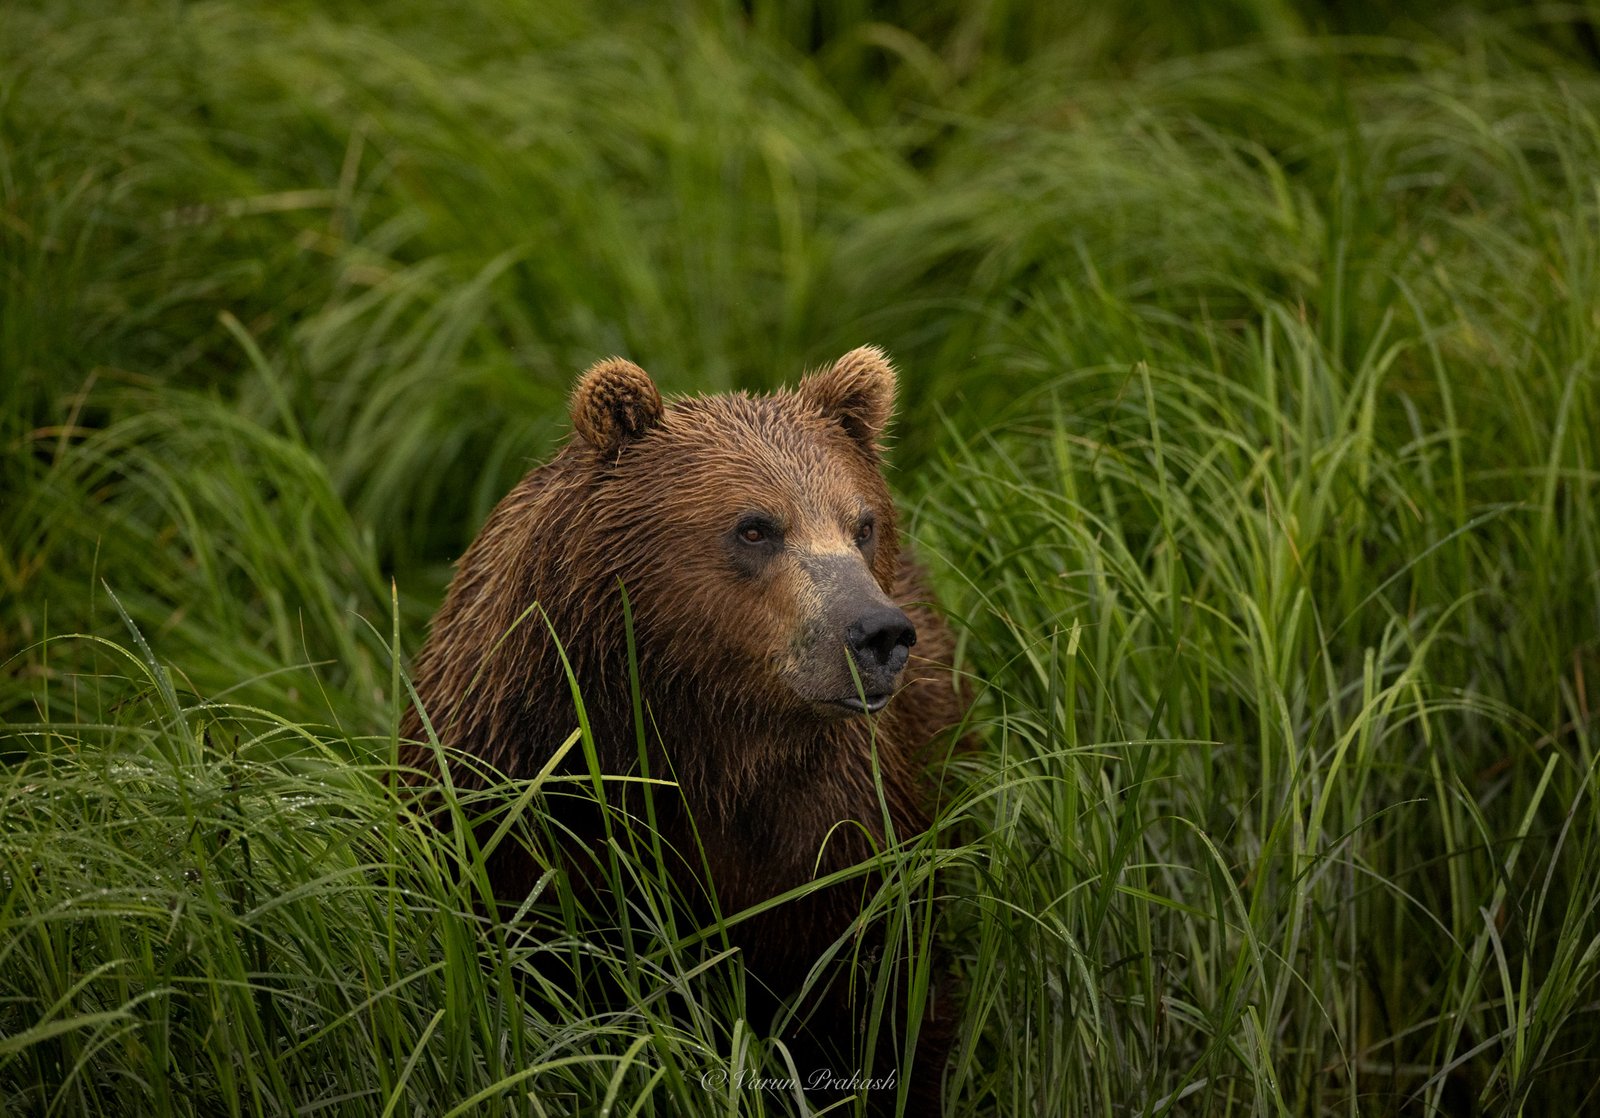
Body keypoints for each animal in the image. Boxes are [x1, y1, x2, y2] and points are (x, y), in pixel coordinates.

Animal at [400, 346, 969, 1114]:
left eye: (862, 523)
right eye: (756, 527)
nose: (877, 632)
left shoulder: (833, 829)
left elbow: (880, 997)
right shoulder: (515, 803)